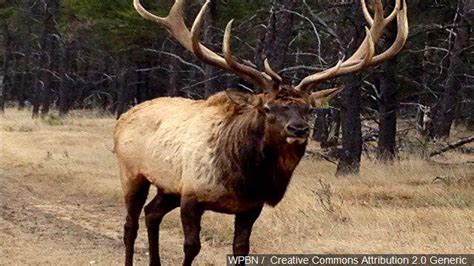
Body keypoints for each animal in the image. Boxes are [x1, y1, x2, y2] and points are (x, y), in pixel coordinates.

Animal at [114, 1, 408, 264]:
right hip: (132, 173)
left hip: (168, 187)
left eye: (309, 109)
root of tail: (124, 117)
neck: (245, 179)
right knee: (130, 223)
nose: (298, 128)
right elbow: (191, 247)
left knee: (152, 213)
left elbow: (241, 249)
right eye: (267, 107)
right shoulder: (192, 194)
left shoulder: (250, 207)